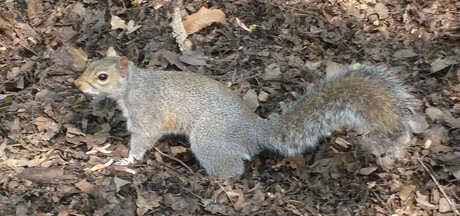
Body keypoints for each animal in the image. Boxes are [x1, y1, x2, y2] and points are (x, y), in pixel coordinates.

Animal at [73, 48, 416, 178]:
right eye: (89, 64)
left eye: (102, 77)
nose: (77, 83)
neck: (134, 85)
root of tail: (253, 130)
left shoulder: (146, 115)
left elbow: (142, 140)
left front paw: (126, 160)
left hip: (209, 137)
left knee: (233, 169)